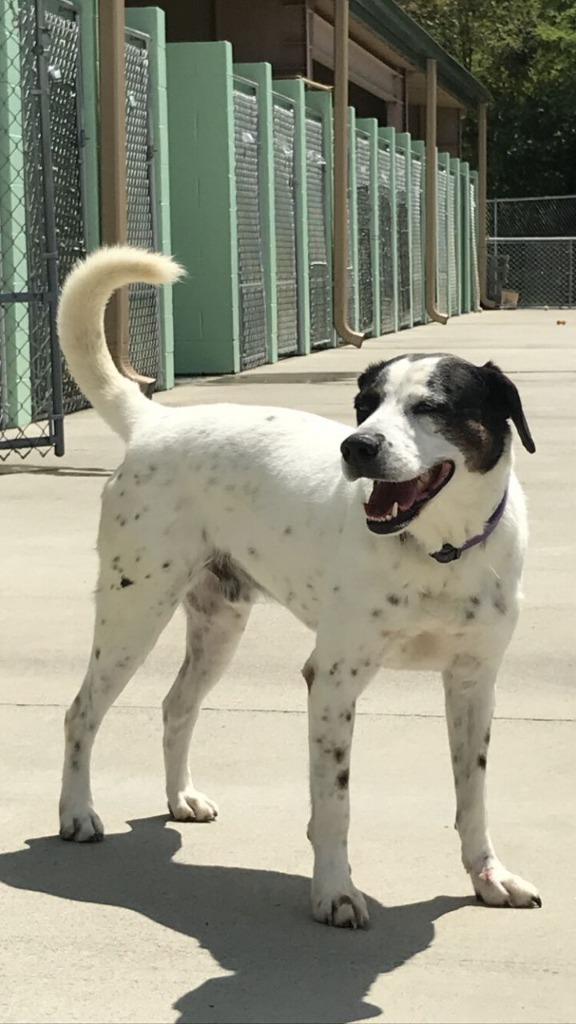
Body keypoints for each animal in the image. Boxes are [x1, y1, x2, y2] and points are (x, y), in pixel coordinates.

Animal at [56, 245, 541, 929]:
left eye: (432, 406)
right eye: (365, 404)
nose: (357, 445)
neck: (437, 553)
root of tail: (155, 422)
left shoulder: (475, 685)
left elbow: (472, 799)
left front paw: (488, 876)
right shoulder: (332, 680)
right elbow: (334, 805)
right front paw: (334, 891)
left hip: (219, 625)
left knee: (176, 705)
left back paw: (180, 797)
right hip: (134, 613)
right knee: (81, 712)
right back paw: (76, 813)